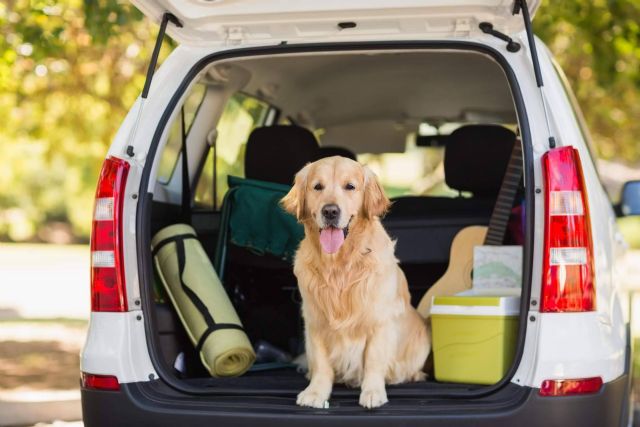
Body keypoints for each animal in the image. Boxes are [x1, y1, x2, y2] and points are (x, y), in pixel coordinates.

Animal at [282, 155, 428, 410]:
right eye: (317, 186)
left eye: (350, 186)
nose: (330, 211)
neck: (339, 265)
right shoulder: (315, 320)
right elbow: (320, 363)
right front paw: (316, 392)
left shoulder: (379, 321)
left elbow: (373, 360)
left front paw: (372, 392)